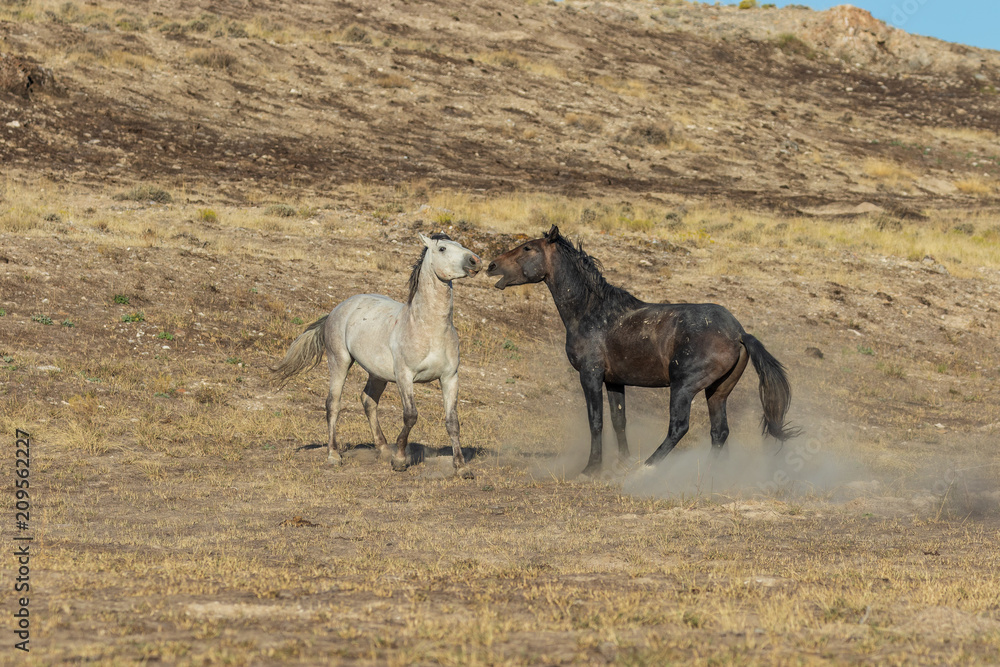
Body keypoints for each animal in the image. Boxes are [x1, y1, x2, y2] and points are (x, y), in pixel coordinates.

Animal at [272, 233, 482, 478]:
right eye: (442, 248)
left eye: (460, 244)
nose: (475, 261)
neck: (428, 329)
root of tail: (337, 309)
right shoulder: (404, 376)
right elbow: (410, 415)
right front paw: (399, 460)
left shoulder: (450, 377)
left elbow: (452, 422)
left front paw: (461, 467)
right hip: (339, 361)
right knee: (333, 404)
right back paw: (334, 455)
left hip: (377, 373)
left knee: (368, 401)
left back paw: (382, 449)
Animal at [487, 225, 798, 476]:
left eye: (528, 248)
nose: (491, 265)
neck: (592, 312)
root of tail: (738, 333)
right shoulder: (614, 381)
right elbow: (619, 420)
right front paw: (621, 462)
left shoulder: (590, 375)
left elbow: (596, 421)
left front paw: (592, 469)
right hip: (717, 391)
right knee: (719, 431)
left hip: (683, 387)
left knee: (678, 427)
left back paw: (646, 468)